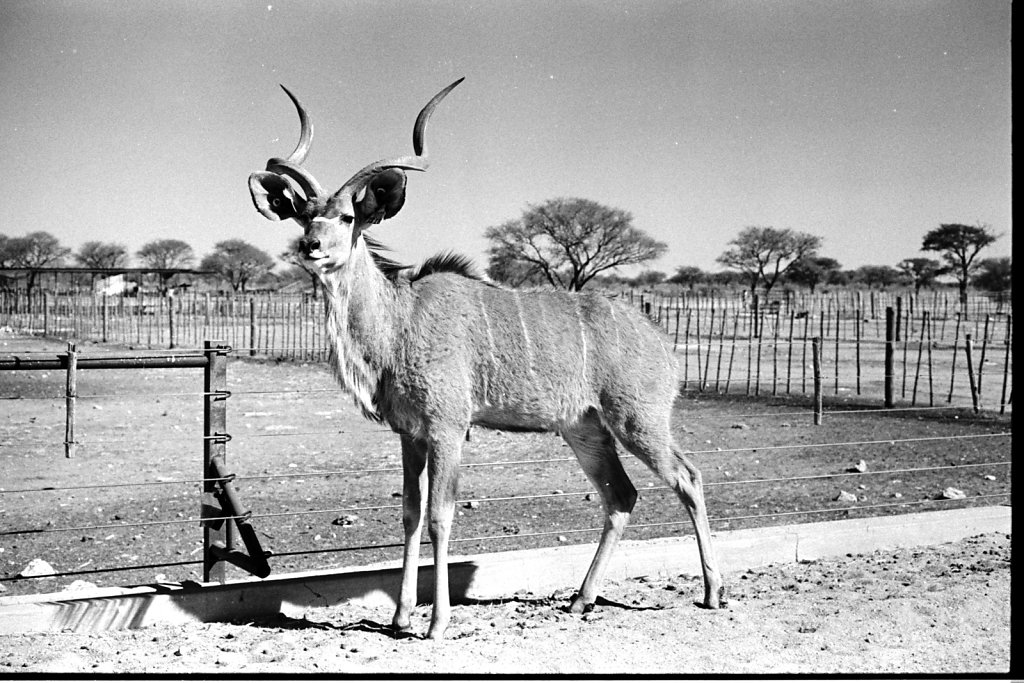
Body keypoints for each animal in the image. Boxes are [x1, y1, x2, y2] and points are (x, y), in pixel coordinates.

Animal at [248, 80, 729, 643]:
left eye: (348, 217)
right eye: (304, 215)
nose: (311, 246)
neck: (400, 322)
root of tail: (663, 344)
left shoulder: (448, 429)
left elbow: (440, 517)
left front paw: (436, 623)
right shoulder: (410, 436)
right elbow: (409, 514)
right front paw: (399, 618)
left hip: (639, 421)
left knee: (688, 479)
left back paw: (713, 592)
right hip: (584, 429)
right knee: (621, 497)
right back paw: (580, 601)